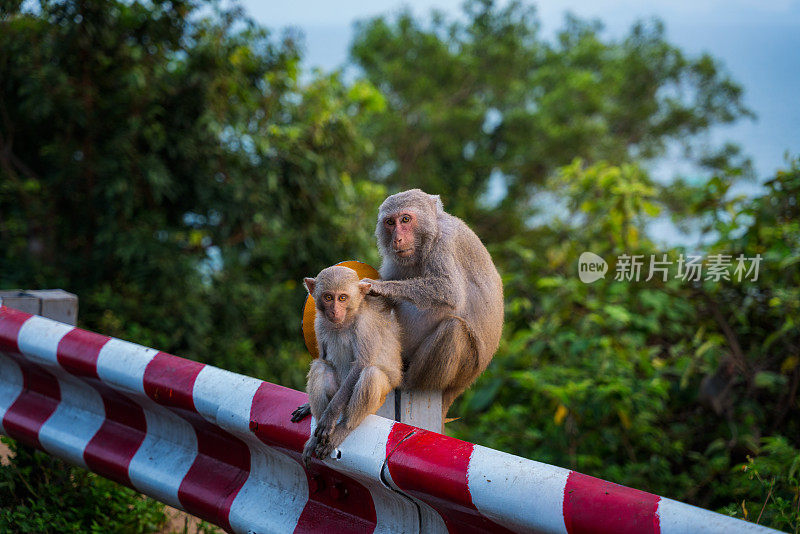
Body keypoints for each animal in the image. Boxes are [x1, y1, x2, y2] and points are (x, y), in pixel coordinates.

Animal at [292, 266, 400, 464]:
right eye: (328, 297)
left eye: (342, 298)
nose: (334, 311)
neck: (346, 320)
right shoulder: (319, 323)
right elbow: (323, 356)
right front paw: (309, 407)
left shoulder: (365, 325)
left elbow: (361, 365)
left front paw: (330, 417)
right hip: (336, 389)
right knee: (320, 366)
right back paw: (314, 438)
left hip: (370, 401)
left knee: (371, 374)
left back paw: (343, 427)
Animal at [366, 191, 504, 426]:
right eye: (390, 222)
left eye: (405, 219)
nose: (397, 239)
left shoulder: (445, 242)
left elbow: (448, 290)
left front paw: (381, 288)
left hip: (466, 367)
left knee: (454, 329)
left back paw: (408, 382)